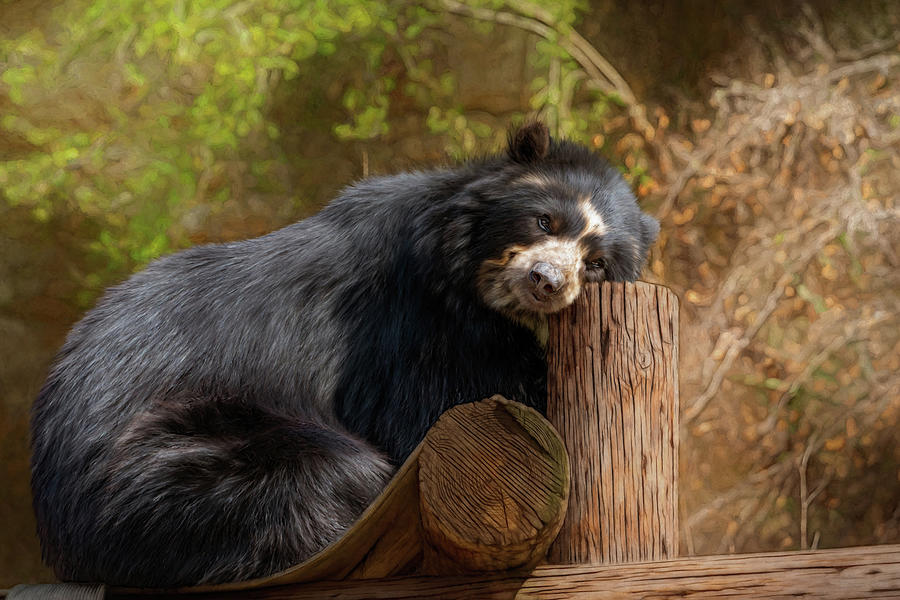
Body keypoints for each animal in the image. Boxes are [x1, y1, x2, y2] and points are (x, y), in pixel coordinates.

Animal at [31, 122, 656, 584]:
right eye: (544, 219)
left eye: (595, 264)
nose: (545, 281)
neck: (474, 290)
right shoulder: (409, 328)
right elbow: (431, 409)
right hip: (166, 472)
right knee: (328, 469)